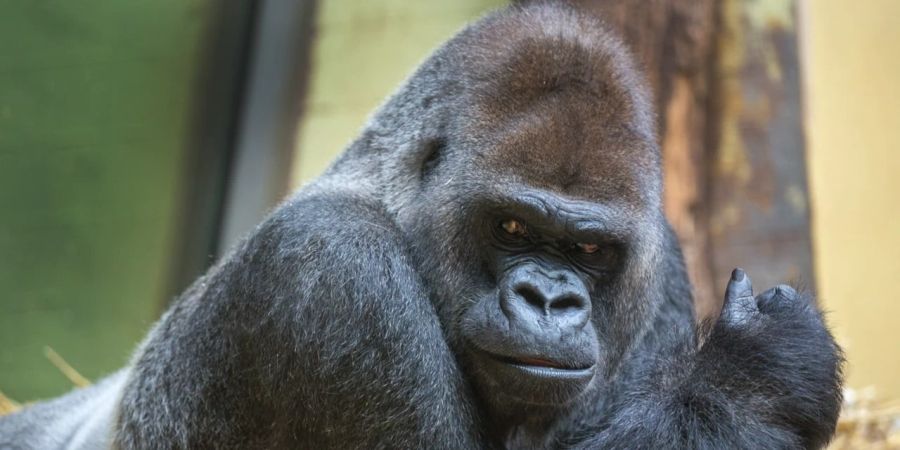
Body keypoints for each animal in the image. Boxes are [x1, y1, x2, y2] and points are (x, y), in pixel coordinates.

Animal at [0, 1, 844, 448]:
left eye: (589, 248)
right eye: (510, 229)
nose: (549, 300)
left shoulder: (658, 269)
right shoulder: (336, 273)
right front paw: (762, 375)